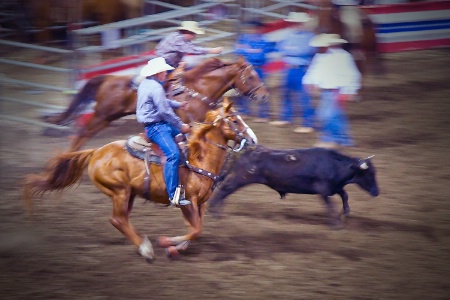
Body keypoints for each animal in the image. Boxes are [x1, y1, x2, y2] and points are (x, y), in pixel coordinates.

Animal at [24, 99, 256, 262]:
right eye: (235, 121)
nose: (253, 139)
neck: (199, 156)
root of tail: (96, 152)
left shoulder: (201, 204)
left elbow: (195, 229)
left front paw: (177, 247)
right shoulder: (187, 201)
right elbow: (196, 230)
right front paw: (168, 242)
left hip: (129, 195)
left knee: (122, 220)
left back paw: (142, 242)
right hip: (120, 192)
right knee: (117, 220)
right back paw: (146, 249)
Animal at [47, 56, 268, 151]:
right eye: (251, 76)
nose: (264, 96)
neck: (199, 89)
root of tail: (107, 78)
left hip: (106, 117)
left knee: (83, 136)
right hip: (102, 114)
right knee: (81, 135)